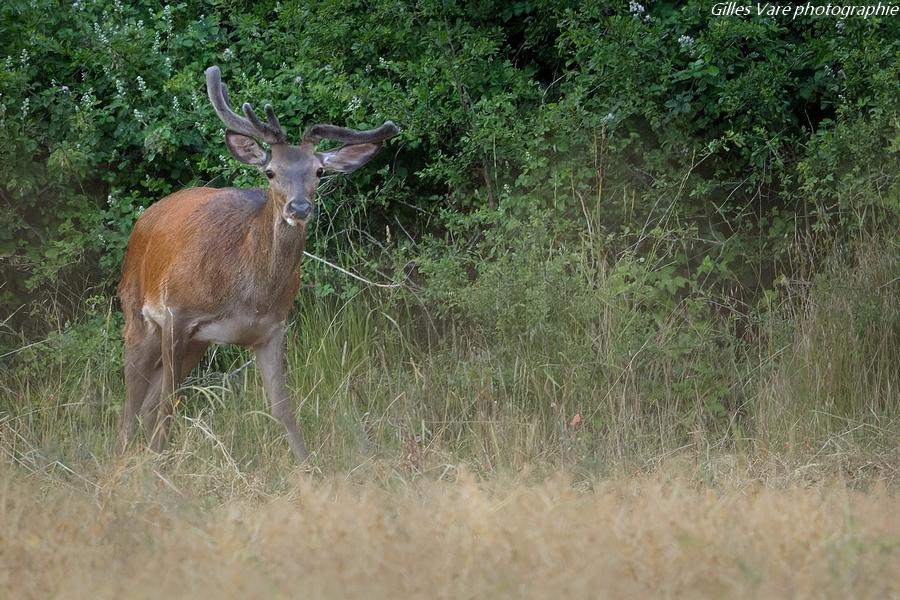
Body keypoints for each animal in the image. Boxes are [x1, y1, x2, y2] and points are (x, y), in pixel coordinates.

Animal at [118, 64, 400, 460]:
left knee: (148, 402)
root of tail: (145, 219)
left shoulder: (271, 328)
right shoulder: (177, 313)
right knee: (132, 401)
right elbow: (169, 403)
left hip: (198, 343)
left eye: (319, 171)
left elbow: (283, 408)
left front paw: (308, 467)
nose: (299, 207)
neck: (248, 293)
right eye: (270, 171)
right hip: (138, 313)